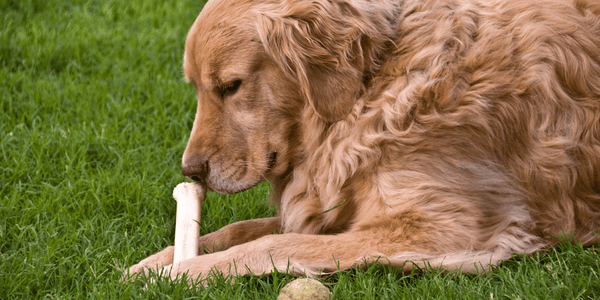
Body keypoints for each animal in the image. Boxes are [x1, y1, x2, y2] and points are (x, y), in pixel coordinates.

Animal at [127, 0, 600, 282]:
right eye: (196, 88)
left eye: (230, 86)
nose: (190, 171)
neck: (373, 89)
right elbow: (237, 229)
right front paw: (160, 259)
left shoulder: (451, 228)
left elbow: (272, 243)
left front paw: (183, 272)